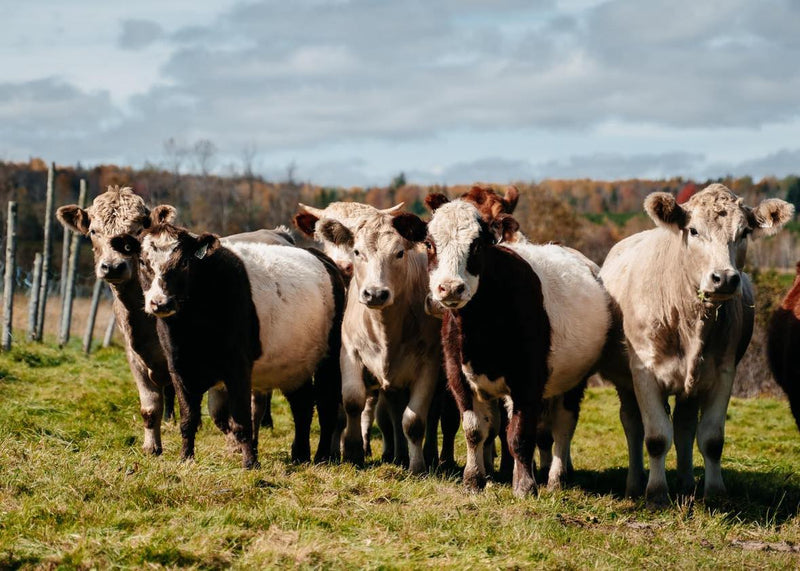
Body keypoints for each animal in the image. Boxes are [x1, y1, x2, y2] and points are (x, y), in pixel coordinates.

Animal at [131, 214, 344, 470]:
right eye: (142, 262)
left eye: (183, 263)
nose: (160, 303)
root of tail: (319, 256)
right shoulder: (179, 369)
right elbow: (189, 418)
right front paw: (185, 458)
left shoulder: (238, 368)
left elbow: (242, 420)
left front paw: (250, 463)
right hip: (295, 363)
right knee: (302, 403)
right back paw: (300, 455)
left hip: (330, 356)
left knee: (326, 403)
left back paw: (323, 457)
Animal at [316, 210, 444, 474]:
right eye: (357, 252)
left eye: (399, 253)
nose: (375, 293)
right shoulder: (350, 353)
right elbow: (353, 402)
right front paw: (353, 452)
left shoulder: (428, 365)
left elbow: (414, 420)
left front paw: (417, 467)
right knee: (391, 413)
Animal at [404, 198, 608, 496]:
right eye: (429, 244)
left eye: (477, 245)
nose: (450, 288)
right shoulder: (457, 375)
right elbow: (474, 430)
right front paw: (473, 479)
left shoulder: (528, 381)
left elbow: (520, 435)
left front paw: (524, 486)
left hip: (574, 380)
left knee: (563, 427)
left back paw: (557, 478)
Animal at [600, 183, 792, 500]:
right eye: (693, 230)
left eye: (744, 232)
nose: (724, 278)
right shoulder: (643, 373)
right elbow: (656, 437)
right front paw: (656, 493)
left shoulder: (723, 372)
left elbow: (711, 439)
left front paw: (714, 492)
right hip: (625, 381)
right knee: (633, 424)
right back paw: (634, 484)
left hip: (692, 384)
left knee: (684, 427)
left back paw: (687, 482)